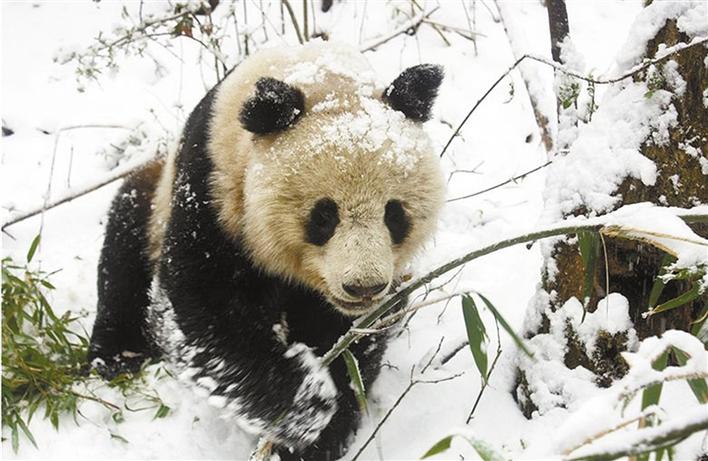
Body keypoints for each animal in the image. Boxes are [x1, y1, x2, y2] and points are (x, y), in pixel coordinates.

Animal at [88, 41, 442, 458]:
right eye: (324, 216)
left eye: (394, 213)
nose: (363, 287)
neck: (321, 78)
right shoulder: (211, 189)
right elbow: (200, 310)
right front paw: (307, 405)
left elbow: (355, 336)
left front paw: (322, 435)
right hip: (152, 205)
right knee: (123, 254)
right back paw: (116, 356)